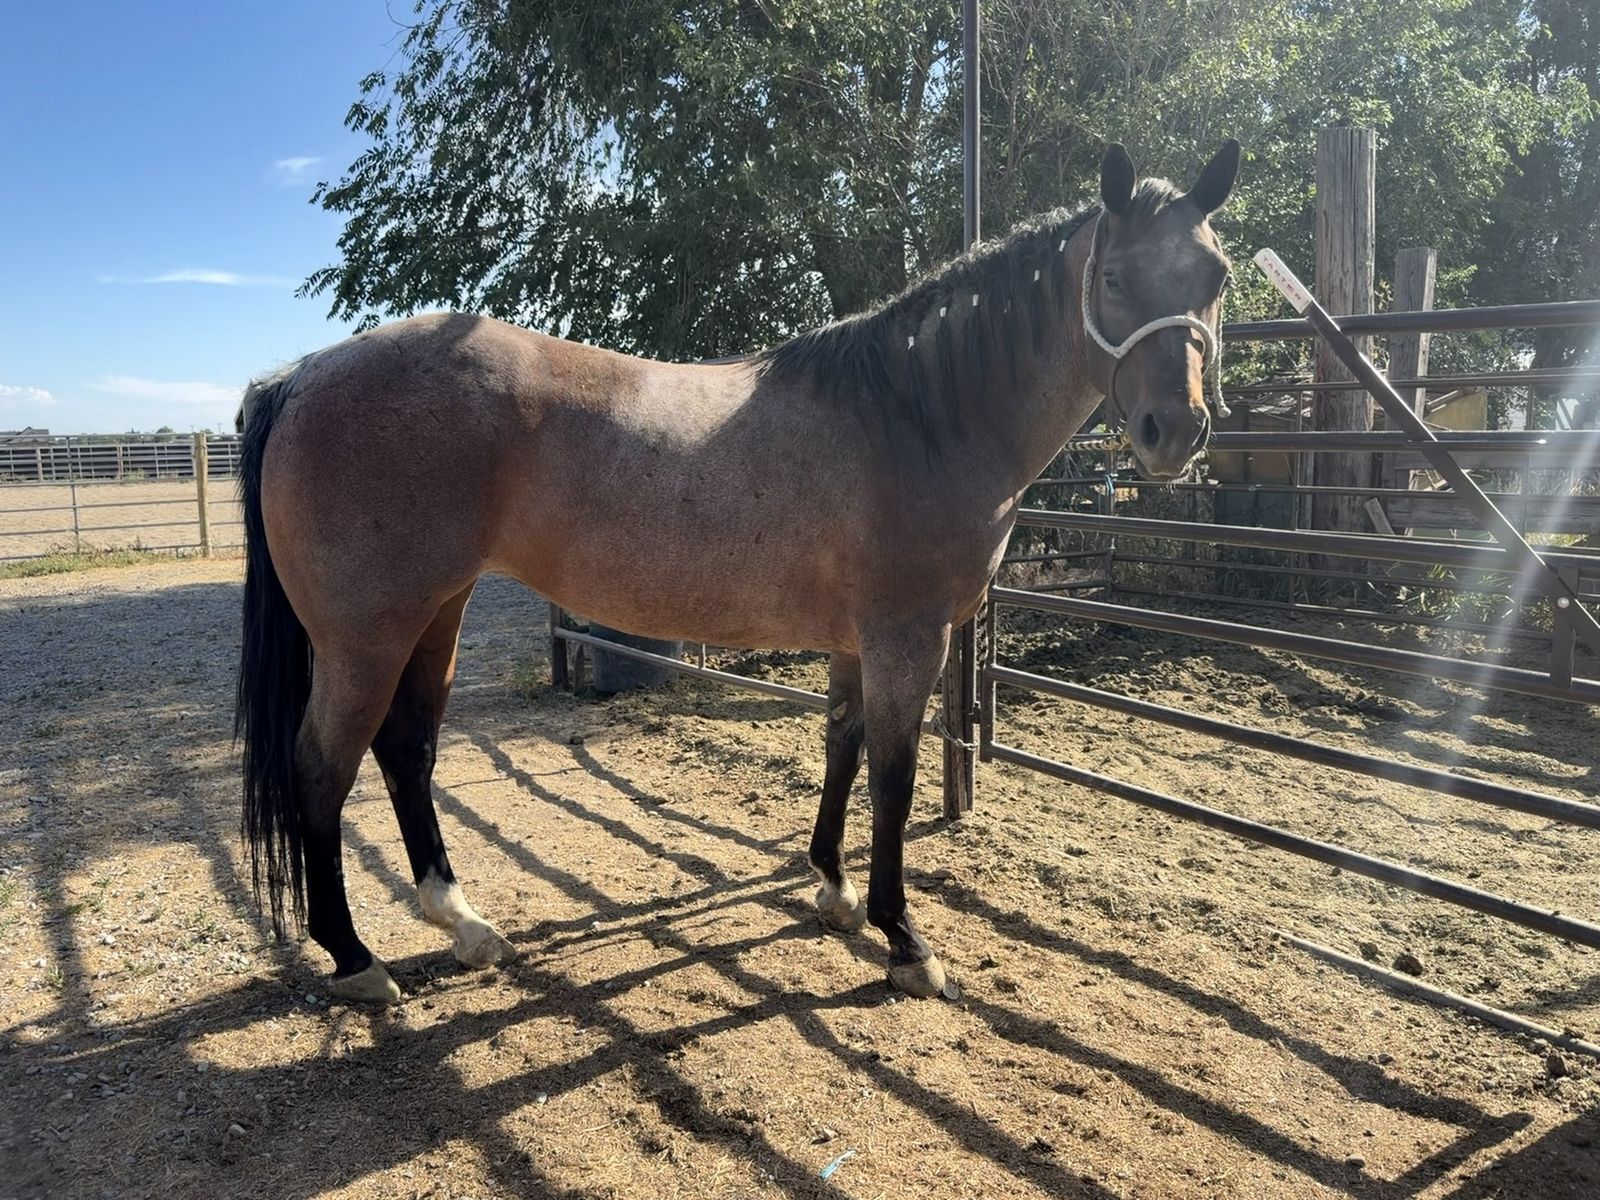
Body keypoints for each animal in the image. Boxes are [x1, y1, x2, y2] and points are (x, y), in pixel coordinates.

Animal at [236, 140, 1241, 1003]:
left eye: (1218, 277)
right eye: (1111, 279)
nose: (1177, 431)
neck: (916, 415)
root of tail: (302, 376)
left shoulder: (857, 641)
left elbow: (841, 748)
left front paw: (832, 888)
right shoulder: (908, 637)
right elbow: (896, 776)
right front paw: (905, 941)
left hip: (436, 611)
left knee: (406, 751)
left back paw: (463, 924)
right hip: (365, 637)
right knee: (322, 768)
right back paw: (355, 958)